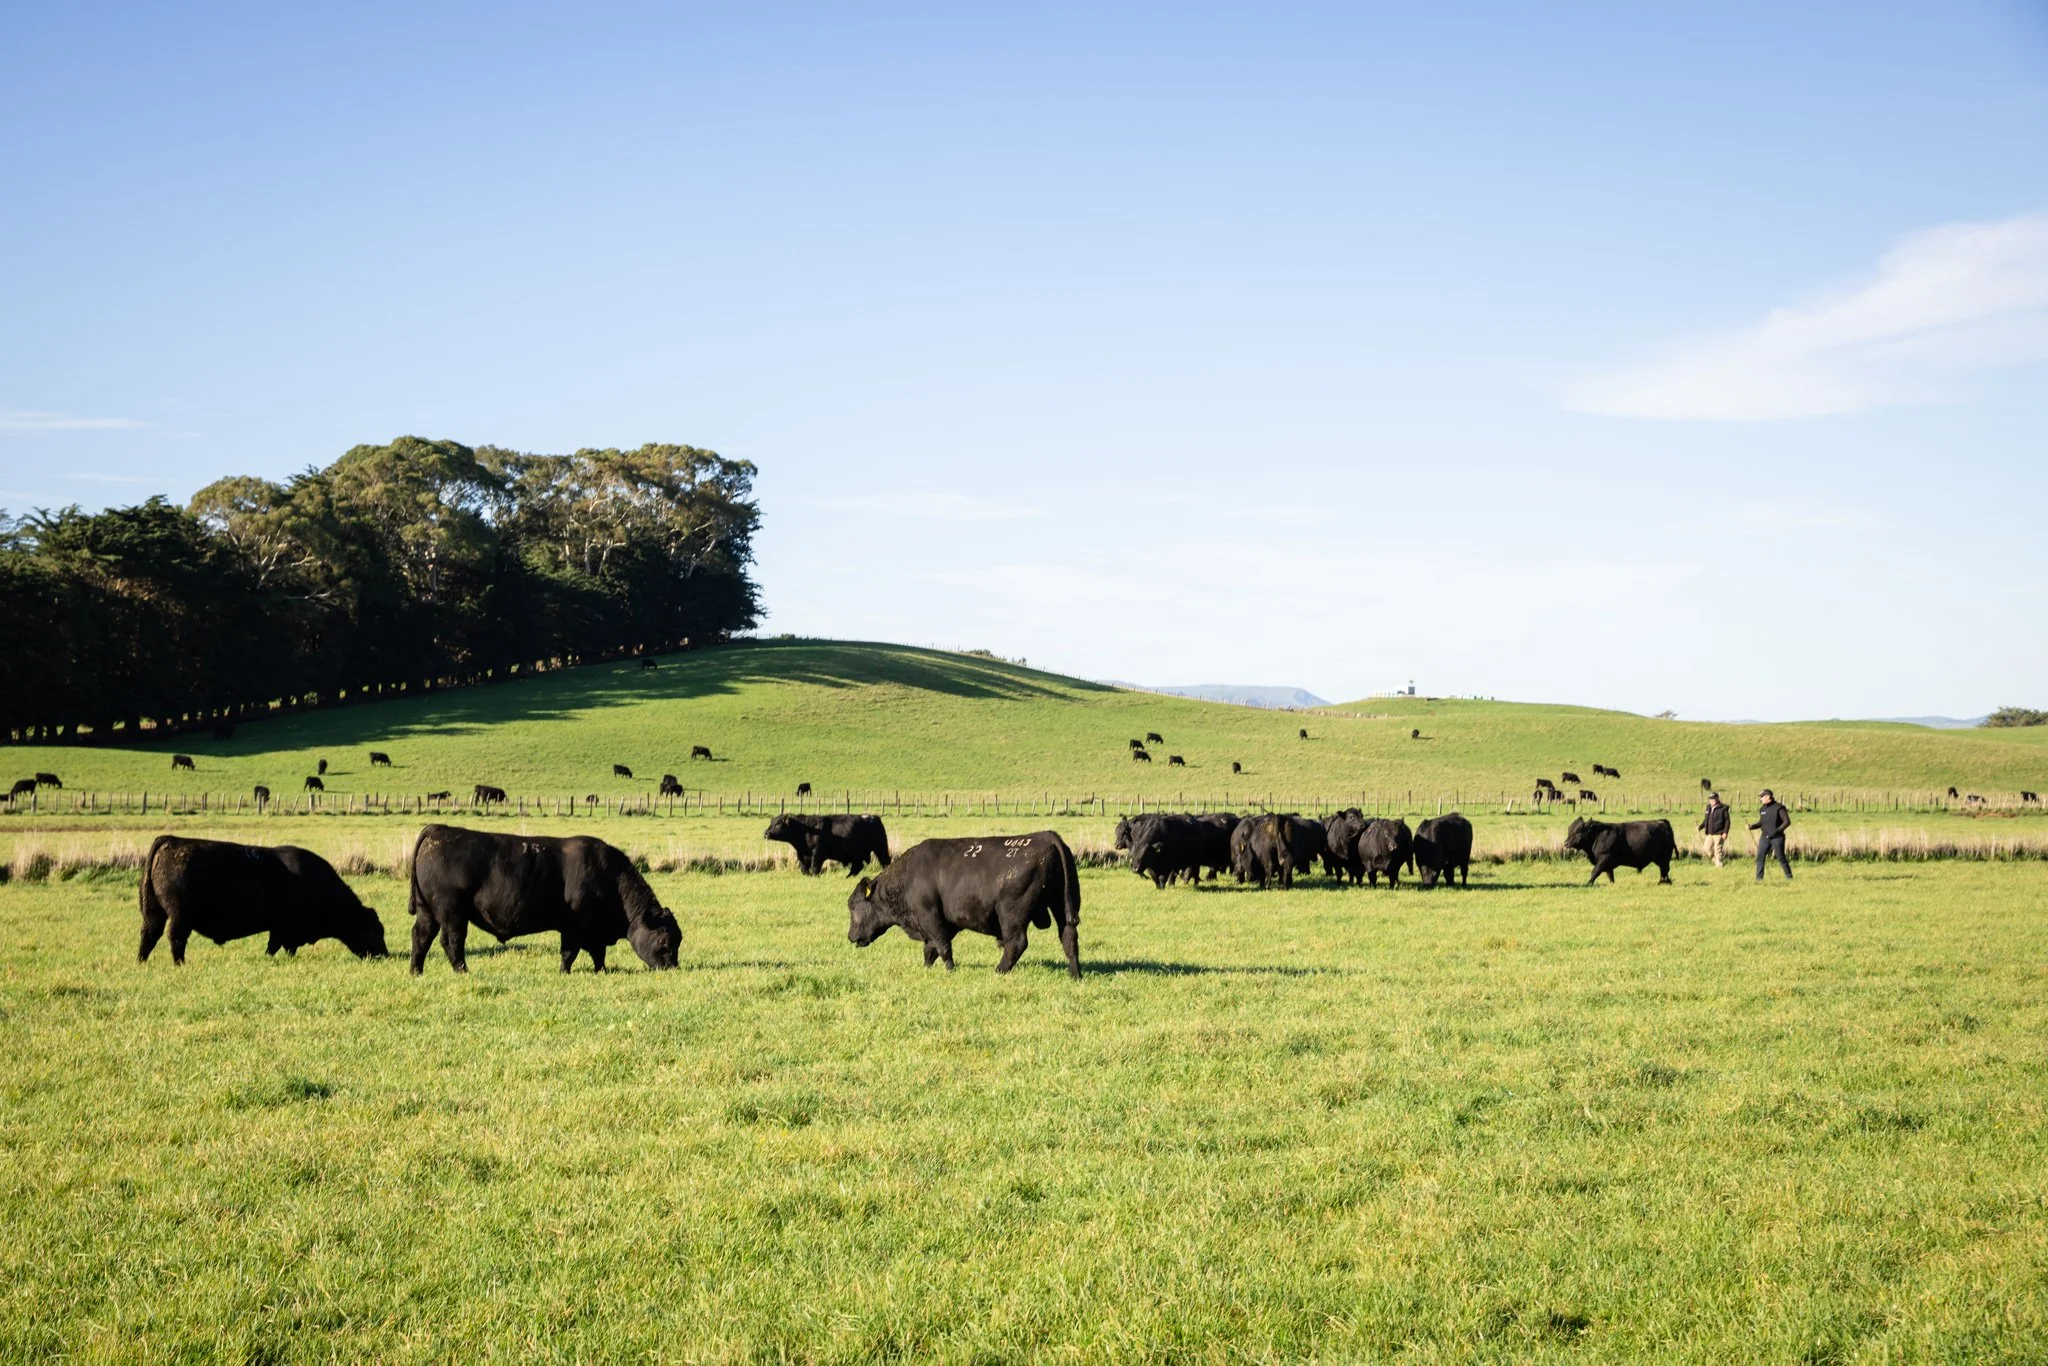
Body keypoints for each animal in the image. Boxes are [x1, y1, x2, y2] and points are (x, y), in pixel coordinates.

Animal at [138, 835, 388, 965]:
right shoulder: (284, 928)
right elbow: (275, 946)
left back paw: (142, 961)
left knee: (149, 935)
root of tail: (172, 841)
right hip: (180, 918)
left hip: (155, 914)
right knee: (176, 939)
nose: (383, 955)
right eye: (373, 931)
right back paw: (180, 963)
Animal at [408, 825, 681, 974]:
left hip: (427, 911)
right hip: (452, 914)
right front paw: (564, 972)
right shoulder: (573, 927)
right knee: (451, 941)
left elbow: (598, 953)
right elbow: (570, 953)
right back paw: (463, 971)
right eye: (664, 941)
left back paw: (416, 971)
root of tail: (439, 830)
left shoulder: (593, 931)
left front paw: (601, 971)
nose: (673, 967)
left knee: (421, 937)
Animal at [847, 832, 1080, 977]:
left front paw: (951, 969)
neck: (907, 876)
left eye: (853, 905)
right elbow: (930, 949)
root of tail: (1046, 835)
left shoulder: (930, 916)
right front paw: (926, 968)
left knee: (1016, 943)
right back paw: (1075, 974)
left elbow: (942, 946)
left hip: (1011, 914)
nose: (850, 936)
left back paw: (999, 971)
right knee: (1068, 938)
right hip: (1062, 907)